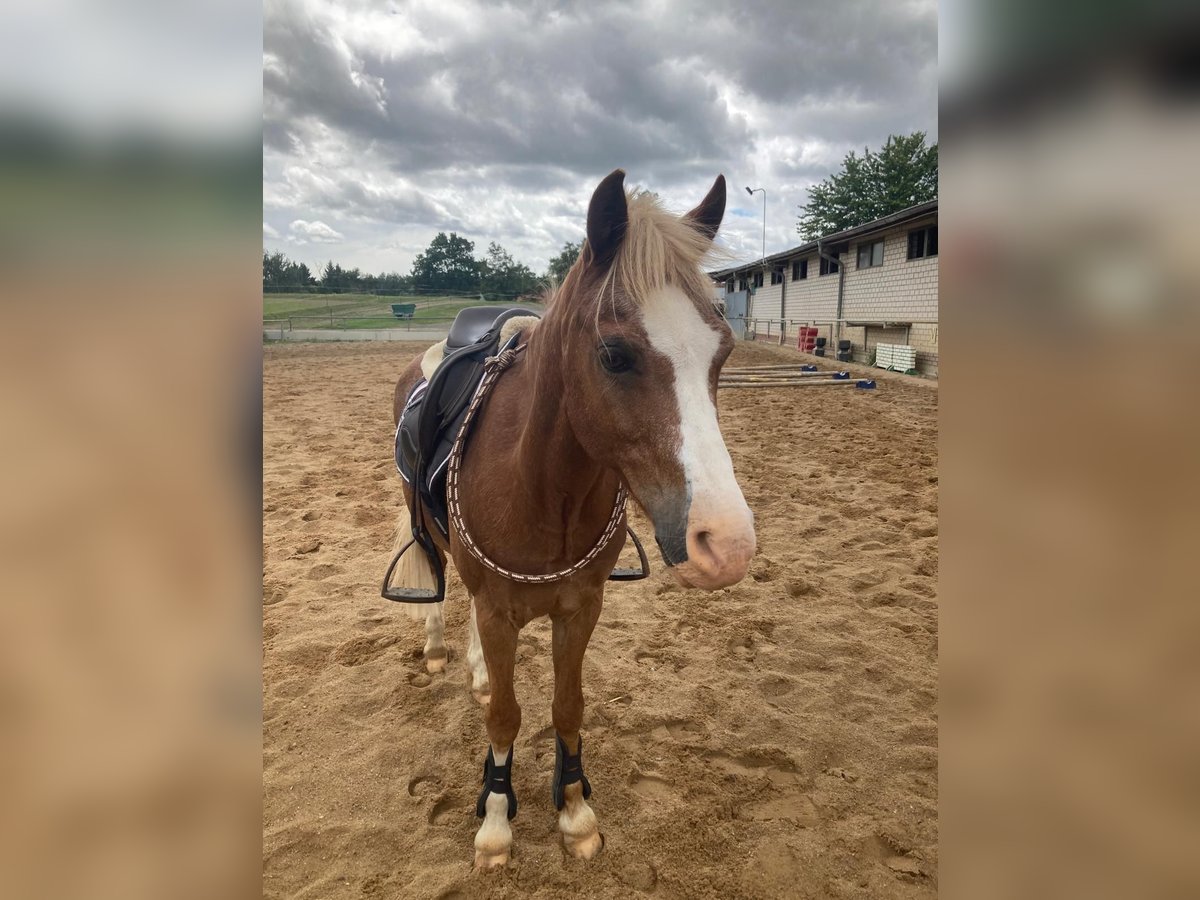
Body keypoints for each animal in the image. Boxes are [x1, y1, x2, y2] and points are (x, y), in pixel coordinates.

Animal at [388, 168, 753, 868]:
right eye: (613, 355)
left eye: (722, 351)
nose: (726, 544)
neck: (539, 489)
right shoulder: (499, 611)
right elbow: (506, 717)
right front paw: (495, 820)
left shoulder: (580, 608)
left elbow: (567, 707)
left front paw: (575, 810)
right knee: (439, 578)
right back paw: (440, 650)